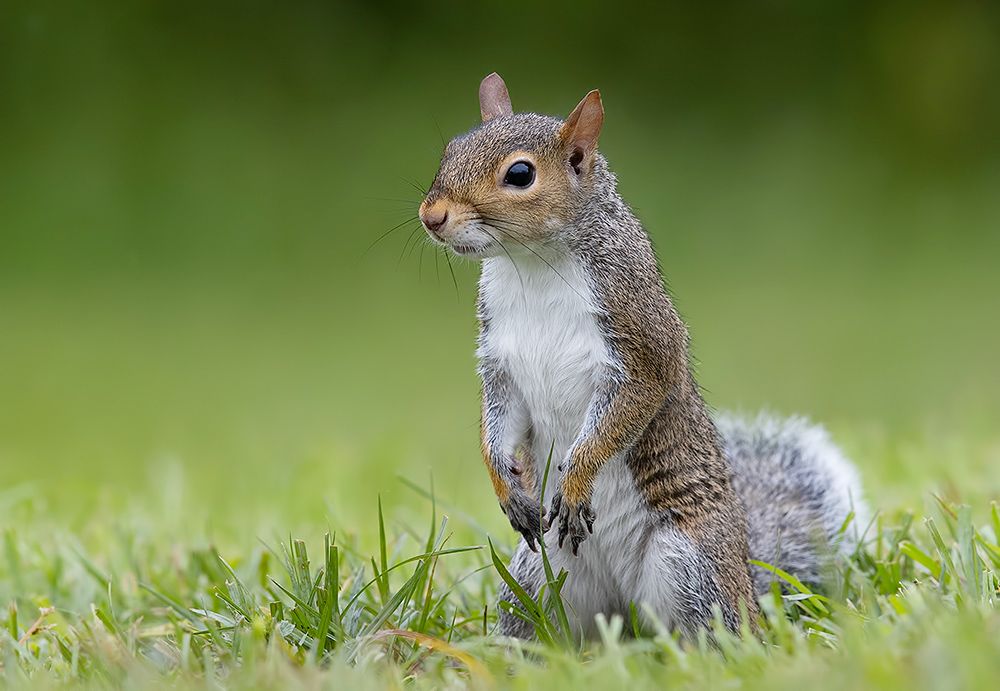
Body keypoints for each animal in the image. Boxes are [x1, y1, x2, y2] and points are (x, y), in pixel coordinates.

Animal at [416, 73, 868, 640]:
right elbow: (499, 421)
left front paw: (576, 480)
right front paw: (507, 485)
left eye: (520, 174)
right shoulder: (499, 362)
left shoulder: (641, 342)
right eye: (449, 150)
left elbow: (627, 409)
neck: (531, 266)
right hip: (537, 575)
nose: (431, 216)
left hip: (690, 564)